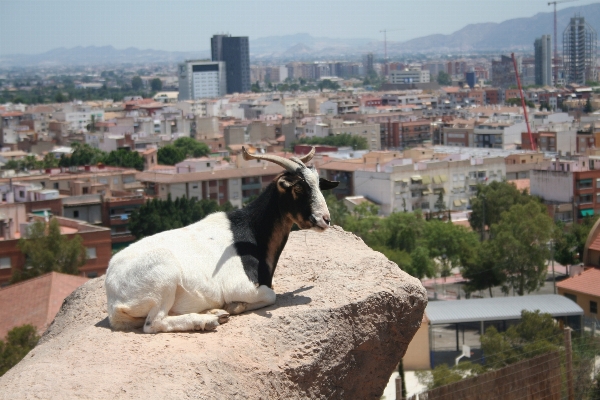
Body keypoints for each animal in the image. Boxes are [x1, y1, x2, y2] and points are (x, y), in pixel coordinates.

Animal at [106, 147, 338, 332]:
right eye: (298, 187)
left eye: (319, 185)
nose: (325, 219)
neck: (250, 231)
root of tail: (113, 299)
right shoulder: (242, 286)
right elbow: (271, 295)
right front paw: (234, 306)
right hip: (163, 277)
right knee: (153, 323)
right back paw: (208, 320)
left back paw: (214, 313)